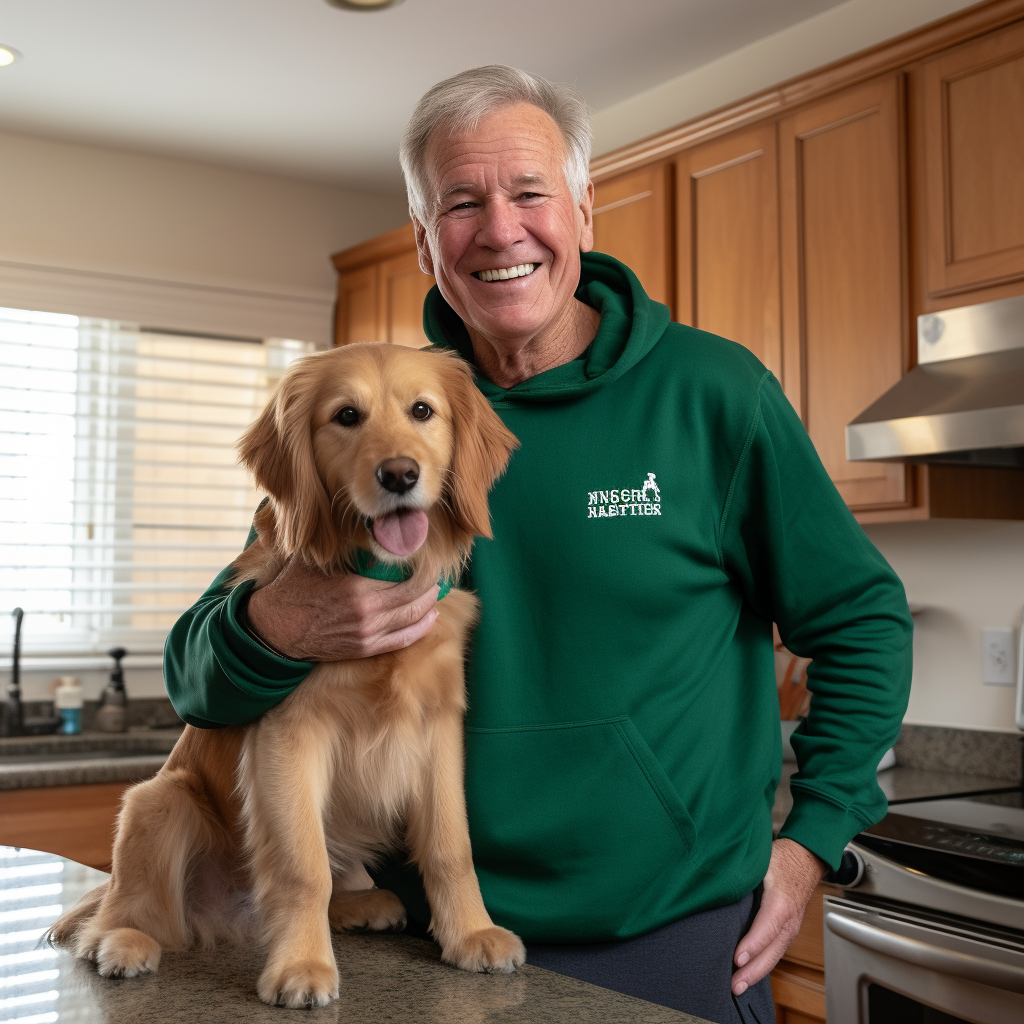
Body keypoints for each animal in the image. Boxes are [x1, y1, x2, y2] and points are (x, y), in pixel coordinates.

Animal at [49, 342, 520, 1007]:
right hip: (157, 803)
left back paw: (362, 903)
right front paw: (302, 966)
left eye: (423, 411)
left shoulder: (437, 729)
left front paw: (470, 933)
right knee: (134, 908)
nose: (400, 474)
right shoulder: (289, 735)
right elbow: (302, 868)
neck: (378, 571)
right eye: (346, 416)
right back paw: (123, 941)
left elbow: (451, 846)